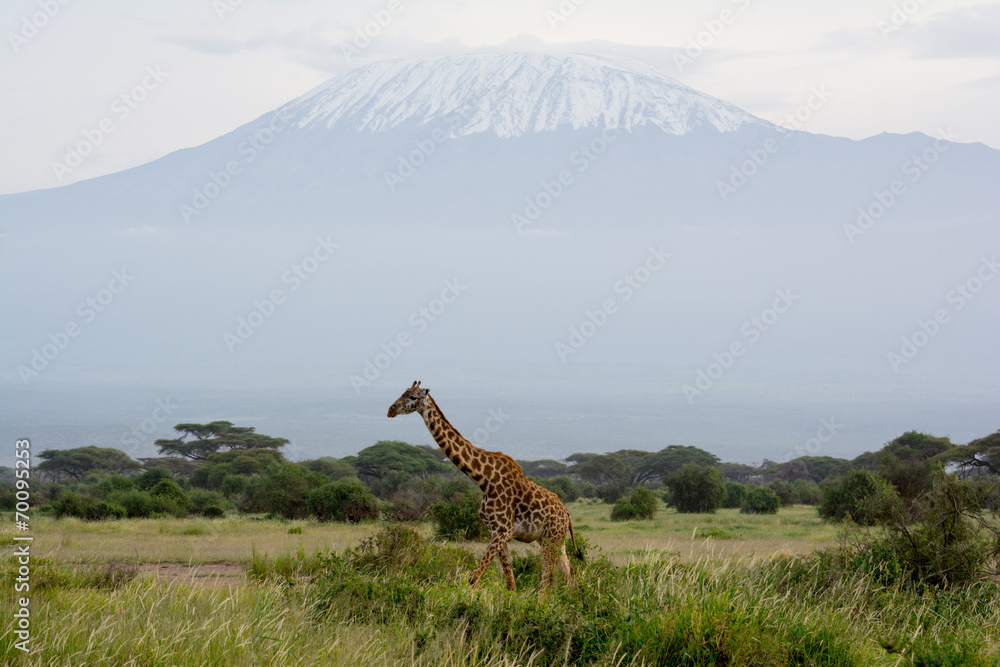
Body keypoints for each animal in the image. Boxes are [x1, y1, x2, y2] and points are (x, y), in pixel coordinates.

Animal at [387, 381, 577, 597]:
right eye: (402, 392)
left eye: (412, 397)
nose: (391, 410)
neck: (484, 479)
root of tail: (567, 515)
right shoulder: (496, 532)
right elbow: (509, 581)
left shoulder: (502, 531)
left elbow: (474, 577)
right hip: (552, 539)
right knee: (568, 571)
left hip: (552, 538)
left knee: (547, 579)